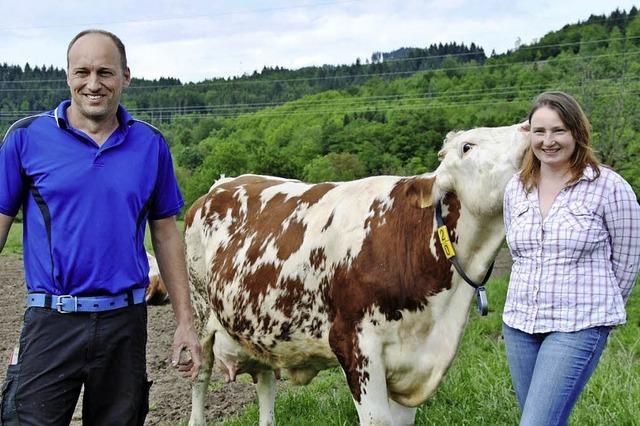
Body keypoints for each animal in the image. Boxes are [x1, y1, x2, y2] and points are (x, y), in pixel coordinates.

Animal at [182, 121, 528, 424]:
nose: (528, 126)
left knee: (265, 383)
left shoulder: (409, 366)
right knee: (200, 378)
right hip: (200, 317)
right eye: (468, 146)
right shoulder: (354, 345)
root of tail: (218, 185)